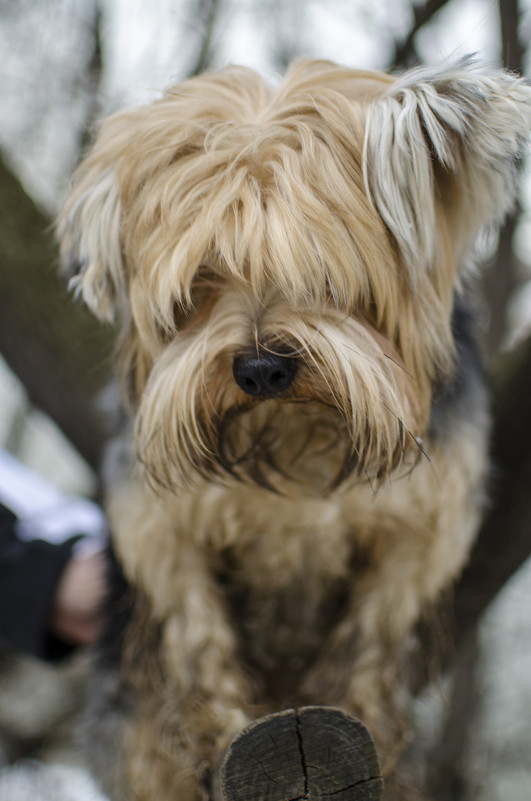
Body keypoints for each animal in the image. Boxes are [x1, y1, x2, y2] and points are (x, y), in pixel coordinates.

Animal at [58, 57, 531, 800]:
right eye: (202, 280)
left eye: (324, 272)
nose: (259, 369)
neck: (295, 435)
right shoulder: (161, 527)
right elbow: (198, 633)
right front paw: (218, 733)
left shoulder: (422, 529)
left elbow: (371, 633)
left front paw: (363, 718)